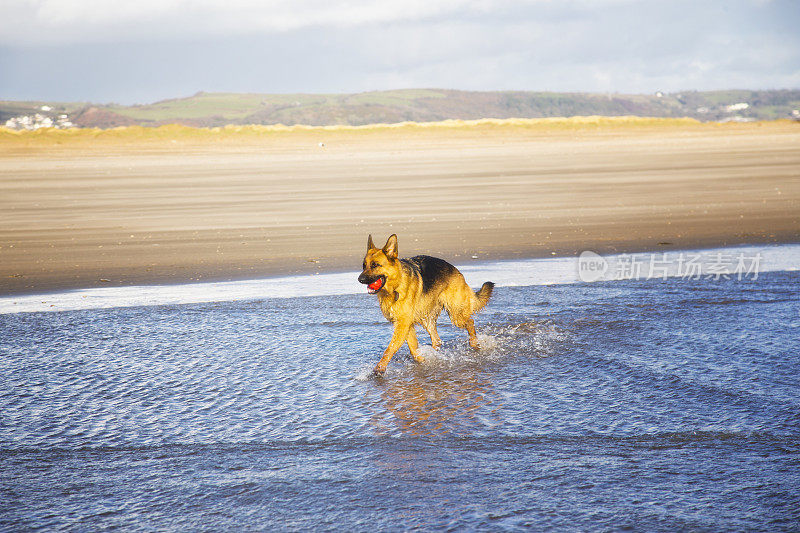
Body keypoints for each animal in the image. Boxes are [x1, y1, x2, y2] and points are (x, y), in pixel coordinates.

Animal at [358, 233, 494, 374]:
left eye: (375, 265)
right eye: (364, 265)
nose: (359, 279)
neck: (396, 286)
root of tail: (456, 269)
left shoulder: (402, 325)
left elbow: (390, 349)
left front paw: (379, 369)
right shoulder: (406, 325)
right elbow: (413, 349)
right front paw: (422, 361)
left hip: (456, 316)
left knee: (470, 322)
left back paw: (474, 343)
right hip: (427, 319)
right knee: (437, 340)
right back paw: (435, 354)